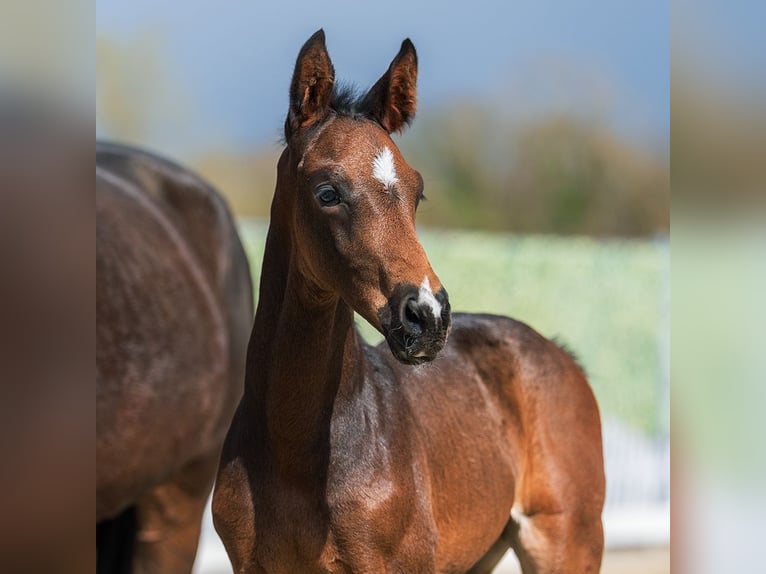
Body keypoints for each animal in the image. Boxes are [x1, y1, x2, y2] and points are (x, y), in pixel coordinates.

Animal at [213, 30, 605, 573]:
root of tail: (561, 354)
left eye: (417, 193)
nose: (428, 317)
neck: (293, 452)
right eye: (327, 192)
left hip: (566, 543)